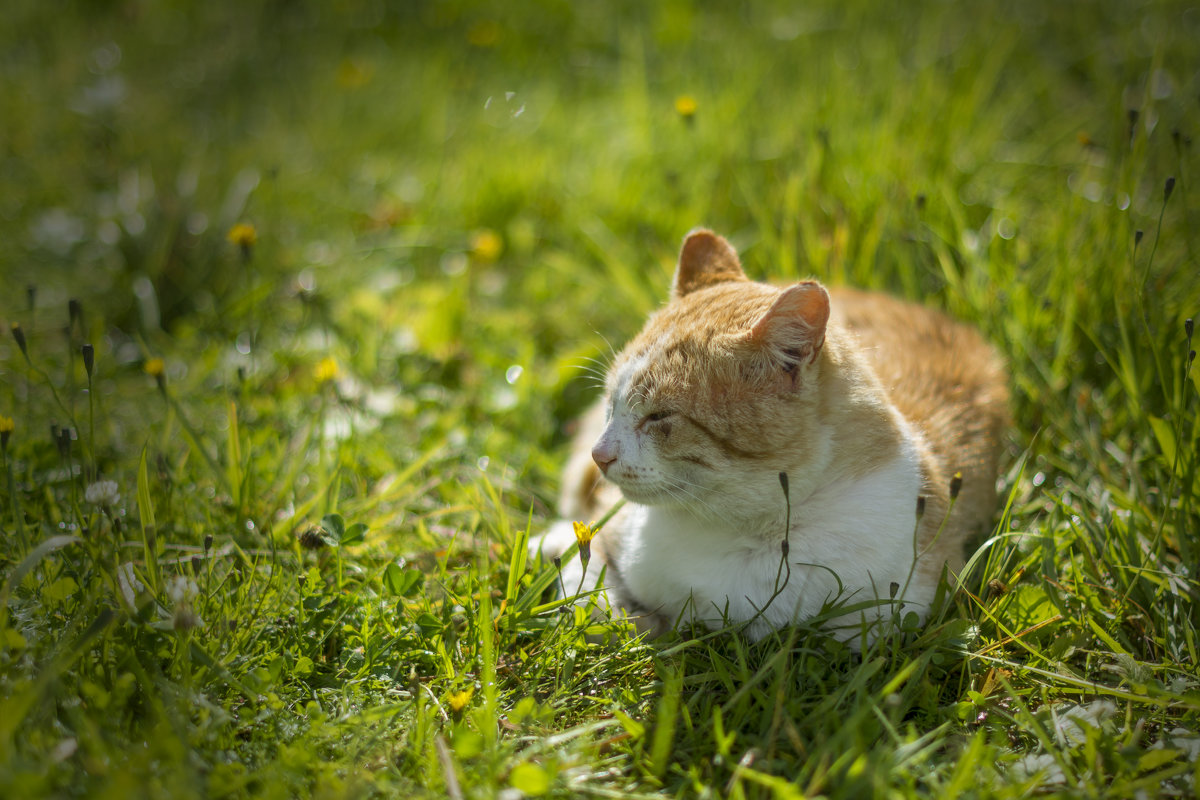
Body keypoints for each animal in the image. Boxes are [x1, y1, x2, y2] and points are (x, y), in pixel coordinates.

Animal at [540, 227, 1008, 642]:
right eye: (612, 402)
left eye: (659, 416)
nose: (601, 455)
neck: (747, 531)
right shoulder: (607, 535)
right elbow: (591, 593)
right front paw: (632, 616)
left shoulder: (894, 616)